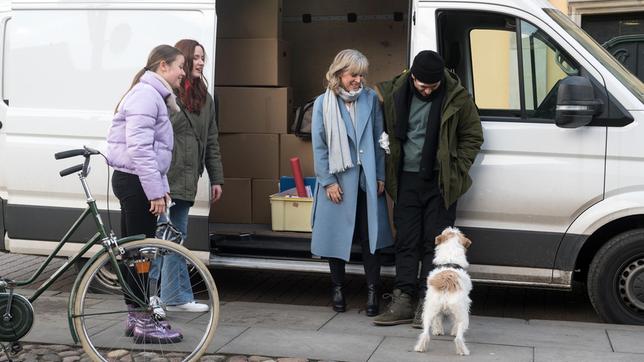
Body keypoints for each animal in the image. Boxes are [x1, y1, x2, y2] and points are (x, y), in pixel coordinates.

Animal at [412, 226, 472, 356]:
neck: (450, 260)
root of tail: (446, 282)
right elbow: (454, 323)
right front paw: (452, 331)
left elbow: (438, 319)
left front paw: (437, 331)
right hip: (462, 313)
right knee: (458, 336)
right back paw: (463, 350)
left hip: (429, 310)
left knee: (425, 332)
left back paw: (420, 347)